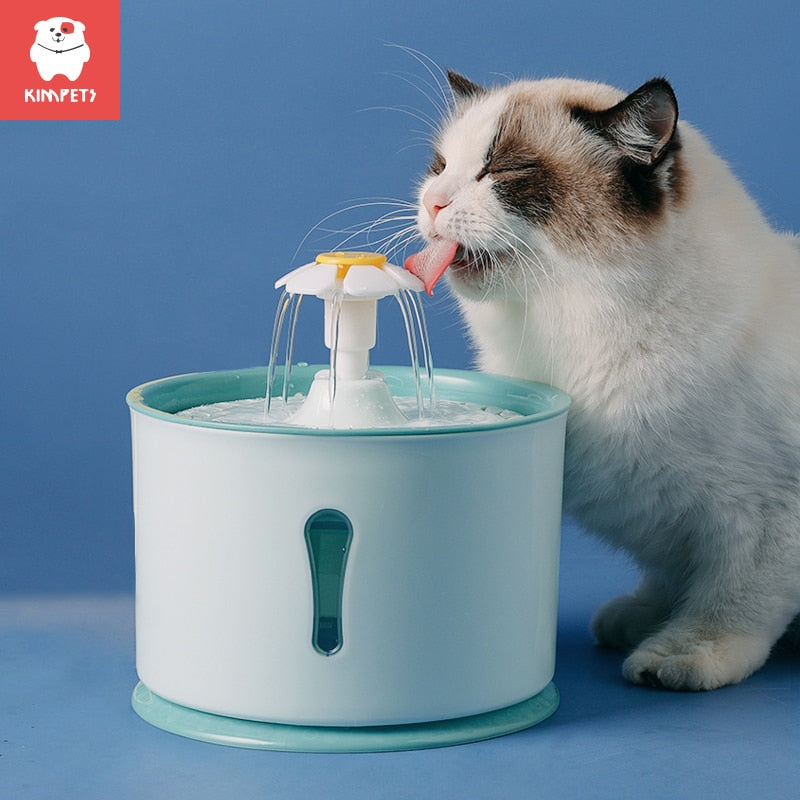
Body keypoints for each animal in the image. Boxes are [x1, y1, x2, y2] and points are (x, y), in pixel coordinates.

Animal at [406, 72, 800, 692]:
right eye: (440, 166)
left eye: (505, 170)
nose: (431, 201)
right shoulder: (665, 514)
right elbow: (670, 575)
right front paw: (643, 618)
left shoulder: (766, 519)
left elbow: (730, 602)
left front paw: (678, 653)